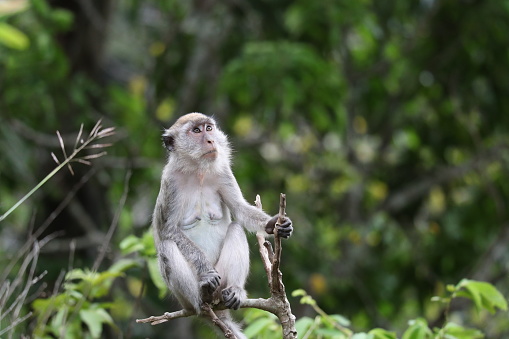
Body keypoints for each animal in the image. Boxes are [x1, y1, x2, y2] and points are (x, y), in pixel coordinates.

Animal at [151, 113, 292, 338]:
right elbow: (168, 231)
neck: (198, 171)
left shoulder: (223, 172)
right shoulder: (170, 182)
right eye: (196, 131)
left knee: (236, 228)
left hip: (223, 281)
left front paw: (273, 224)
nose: (210, 140)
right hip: (185, 298)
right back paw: (202, 299)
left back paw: (234, 291)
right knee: (167, 246)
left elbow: (240, 210)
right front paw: (206, 272)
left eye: (209, 128)